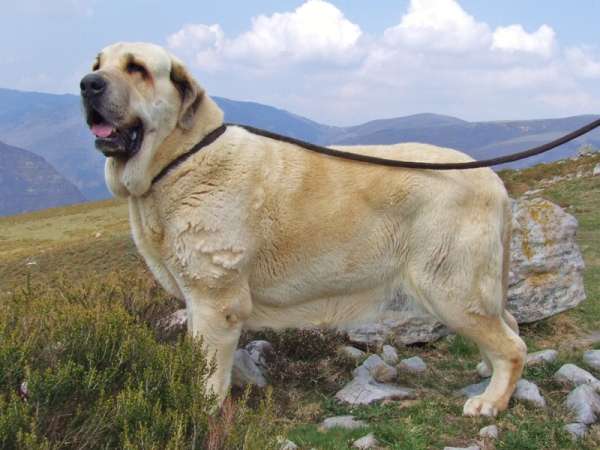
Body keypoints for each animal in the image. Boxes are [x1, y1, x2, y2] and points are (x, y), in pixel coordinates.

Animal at [79, 43, 524, 418]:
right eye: (97, 64)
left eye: (137, 69)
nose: (87, 84)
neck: (183, 157)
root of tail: (493, 181)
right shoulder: (196, 301)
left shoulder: (215, 301)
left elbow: (207, 374)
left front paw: (198, 412)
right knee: (509, 325)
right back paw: (486, 375)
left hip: (450, 288)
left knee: (513, 345)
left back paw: (491, 402)